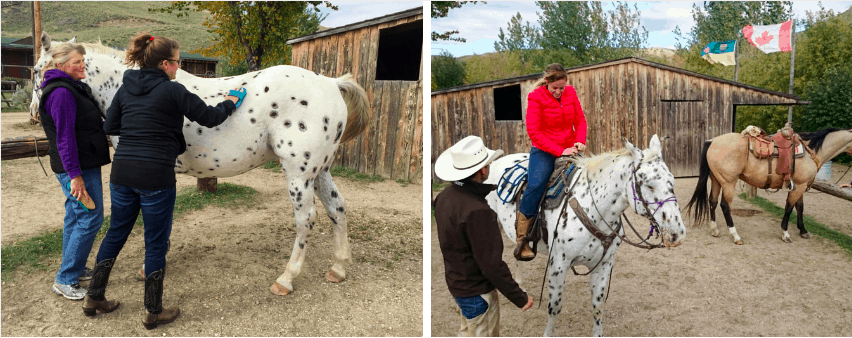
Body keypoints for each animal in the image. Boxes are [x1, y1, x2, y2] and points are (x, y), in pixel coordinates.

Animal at [31, 31, 372, 296]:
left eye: (35, 70)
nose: (35, 112)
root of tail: (330, 83)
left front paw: (148, 266)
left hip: (298, 175)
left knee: (306, 220)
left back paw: (286, 279)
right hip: (320, 171)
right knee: (337, 209)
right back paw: (338, 268)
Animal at [486, 134, 684, 336]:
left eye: (672, 181)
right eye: (649, 186)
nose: (677, 234)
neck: (591, 207)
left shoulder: (604, 265)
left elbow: (597, 307)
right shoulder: (558, 264)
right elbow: (554, 307)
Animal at [684, 128, 852, 244]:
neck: (811, 152)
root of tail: (712, 141)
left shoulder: (801, 186)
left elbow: (800, 207)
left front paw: (803, 231)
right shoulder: (799, 186)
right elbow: (789, 208)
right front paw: (786, 234)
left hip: (716, 180)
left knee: (712, 202)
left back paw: (715, 230)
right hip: (728, 182)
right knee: (725, 206)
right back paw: (735, 236)